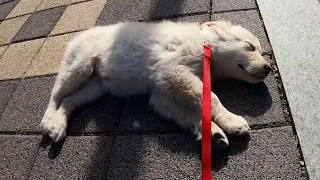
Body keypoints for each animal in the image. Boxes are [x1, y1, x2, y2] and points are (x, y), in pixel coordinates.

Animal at [39, 20, 270, 149]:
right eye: (249, 46)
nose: (269, 68)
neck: (206, 47)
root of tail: (77, 36)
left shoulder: (162, 93)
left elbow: (188, 113)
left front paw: (212, 133)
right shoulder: (172, 70)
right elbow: (210, 97)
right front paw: (231, 121)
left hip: (95, 87)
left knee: (69, 100)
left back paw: (58, 124)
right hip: (80, 66)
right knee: (56, 95)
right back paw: (49, 121)